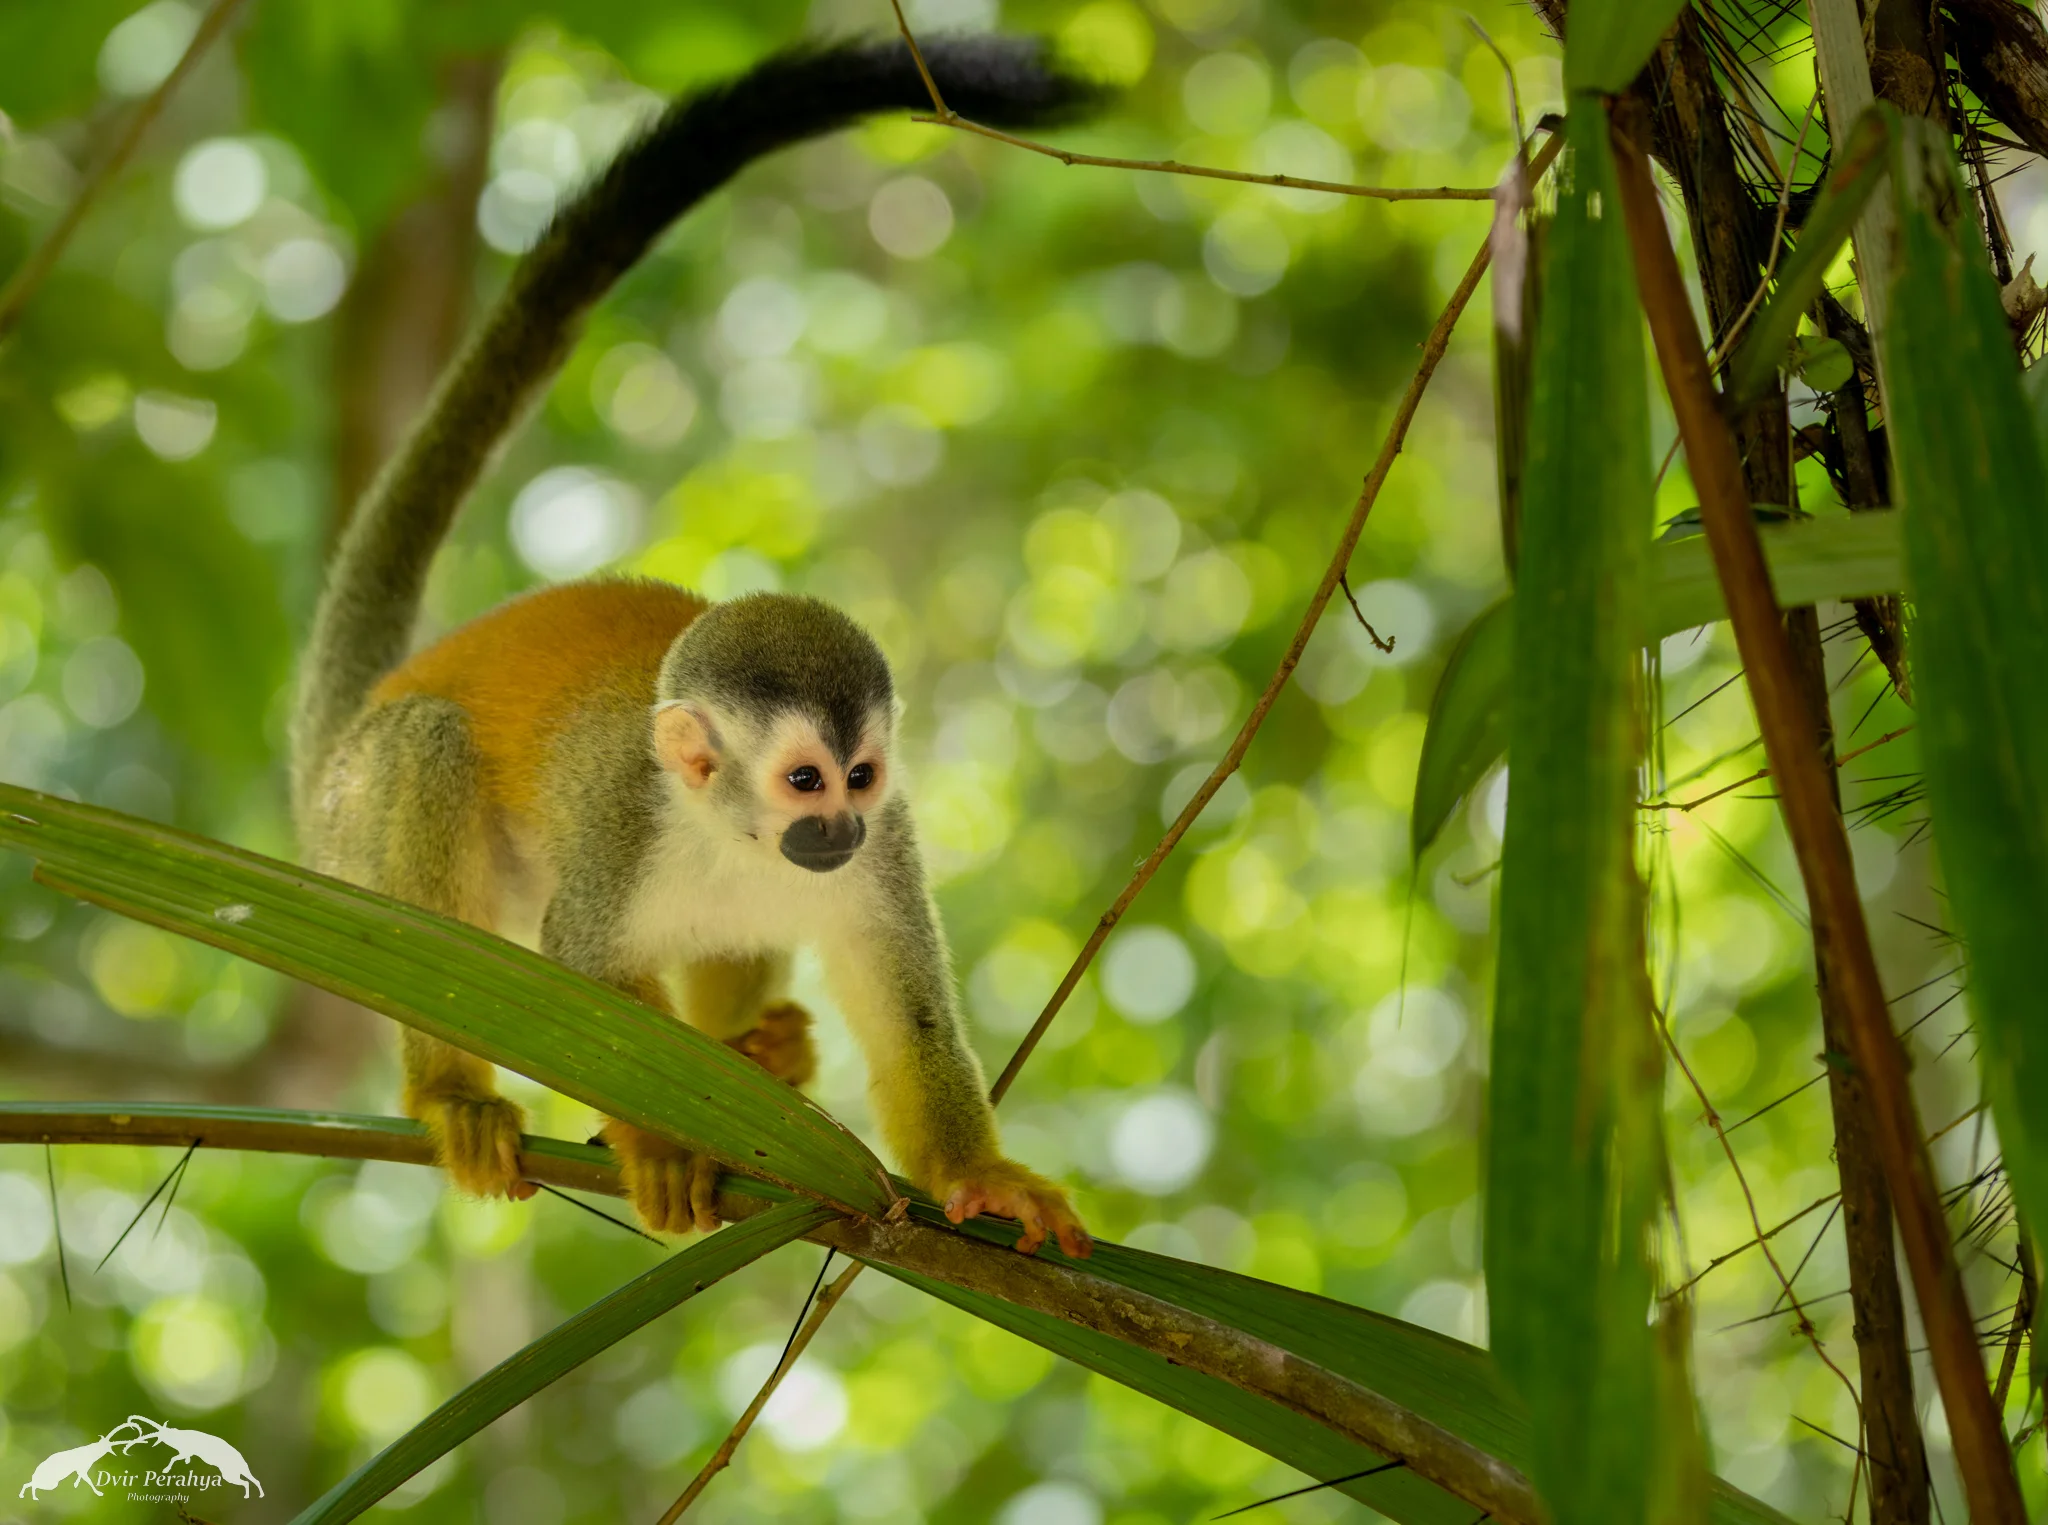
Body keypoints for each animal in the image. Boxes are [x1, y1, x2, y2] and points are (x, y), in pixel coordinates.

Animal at [290, 39, 1096, 1257]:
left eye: (862, 776)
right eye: (804, 778)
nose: (837, 827)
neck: (732, 834)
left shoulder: (892, 848)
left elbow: (907, 1014)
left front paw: (982, 1174)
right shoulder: (624, 827)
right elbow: (585, 976)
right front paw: (665, 1144)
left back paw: (757, 1053)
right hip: (356, 836)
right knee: (427, 760)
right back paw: (452, 1092)